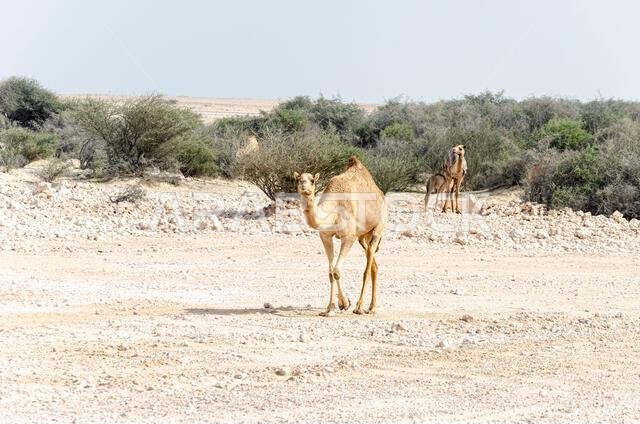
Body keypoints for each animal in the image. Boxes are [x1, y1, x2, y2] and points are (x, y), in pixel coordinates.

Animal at [294, 156, 387, 316]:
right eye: (298, 179)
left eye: (312, 180)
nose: (304, 186)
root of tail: (381, 194)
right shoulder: (325, 236)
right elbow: (331, 272)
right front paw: (329, 308)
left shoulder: (348, 237)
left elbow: (337, 271)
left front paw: (345, 303)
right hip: (363, 236)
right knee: (373, 264)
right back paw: (371, 306)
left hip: (378, 228)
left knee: (367, 268)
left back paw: (360, 307)